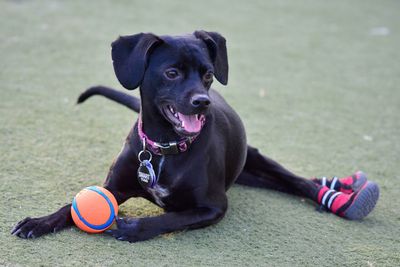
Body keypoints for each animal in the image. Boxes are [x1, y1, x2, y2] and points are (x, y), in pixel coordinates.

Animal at [11, 30, 378, 243]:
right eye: (171, 72)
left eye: (209, 74)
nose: (203, 102)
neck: (164, 149)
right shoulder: (113, 187)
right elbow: (69, 207)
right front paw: (38, 222)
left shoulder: (214, 206)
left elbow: (171, 218)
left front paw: (131, 229)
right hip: (248, 174)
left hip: (258, 159)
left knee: (297, 181)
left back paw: (342, 196)